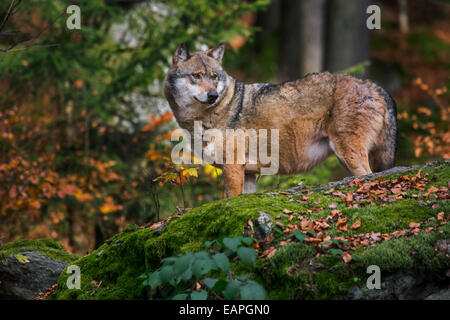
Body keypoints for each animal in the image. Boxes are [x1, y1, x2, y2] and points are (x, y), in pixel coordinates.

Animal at [164, 42, 398, 198]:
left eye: (213, 77)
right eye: (196, 76)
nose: (213, 95)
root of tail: (375, 86)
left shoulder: (233, 167)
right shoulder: (248, 173)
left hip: (349, 155)